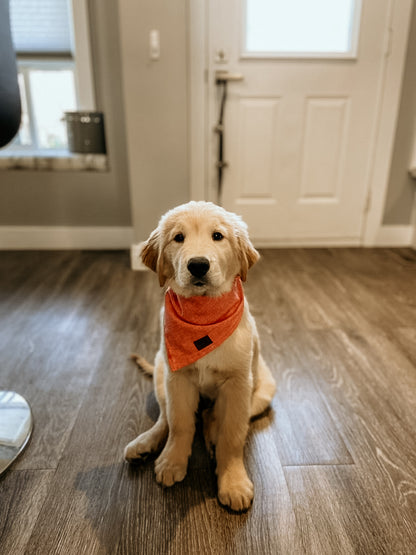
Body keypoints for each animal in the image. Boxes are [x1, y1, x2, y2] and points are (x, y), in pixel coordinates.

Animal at [123, 201, 276, 512]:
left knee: (215, 417)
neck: (204, 317)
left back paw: (212, 434)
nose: (198, 265)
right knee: (166, 419)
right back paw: (144, 444)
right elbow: (180, 422)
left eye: (218, 236)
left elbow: (233, 434)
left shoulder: (238, 383)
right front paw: (172, 461)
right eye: (178, 238)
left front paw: (233, 481)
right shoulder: (177, 379)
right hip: (161, 373)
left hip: (263, 390)